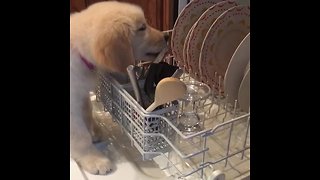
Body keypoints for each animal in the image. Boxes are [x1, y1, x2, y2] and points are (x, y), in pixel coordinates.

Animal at [69, 1, 168, 174]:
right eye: (142, 28)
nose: (167, 36)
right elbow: (80, 137)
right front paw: (94, 159)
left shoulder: (81, 94)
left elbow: (87, 113)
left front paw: (93, 131)